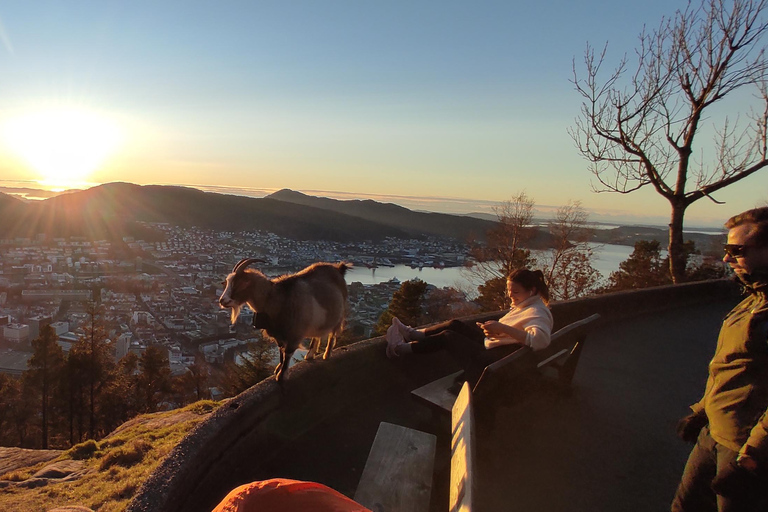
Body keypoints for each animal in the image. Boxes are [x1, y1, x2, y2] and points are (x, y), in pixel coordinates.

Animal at [219, 260, 352, 384]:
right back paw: (310, 355)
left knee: (332, 335)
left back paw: (327, 354)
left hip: (338, 316)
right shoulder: (279, 334)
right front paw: (278, 369)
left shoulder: (294, 334)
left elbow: (287, 354)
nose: (222, 301)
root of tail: (339, 269)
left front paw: (281, 376)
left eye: (239, 283)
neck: (275, 298)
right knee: (317, 335)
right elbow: (281, 352)